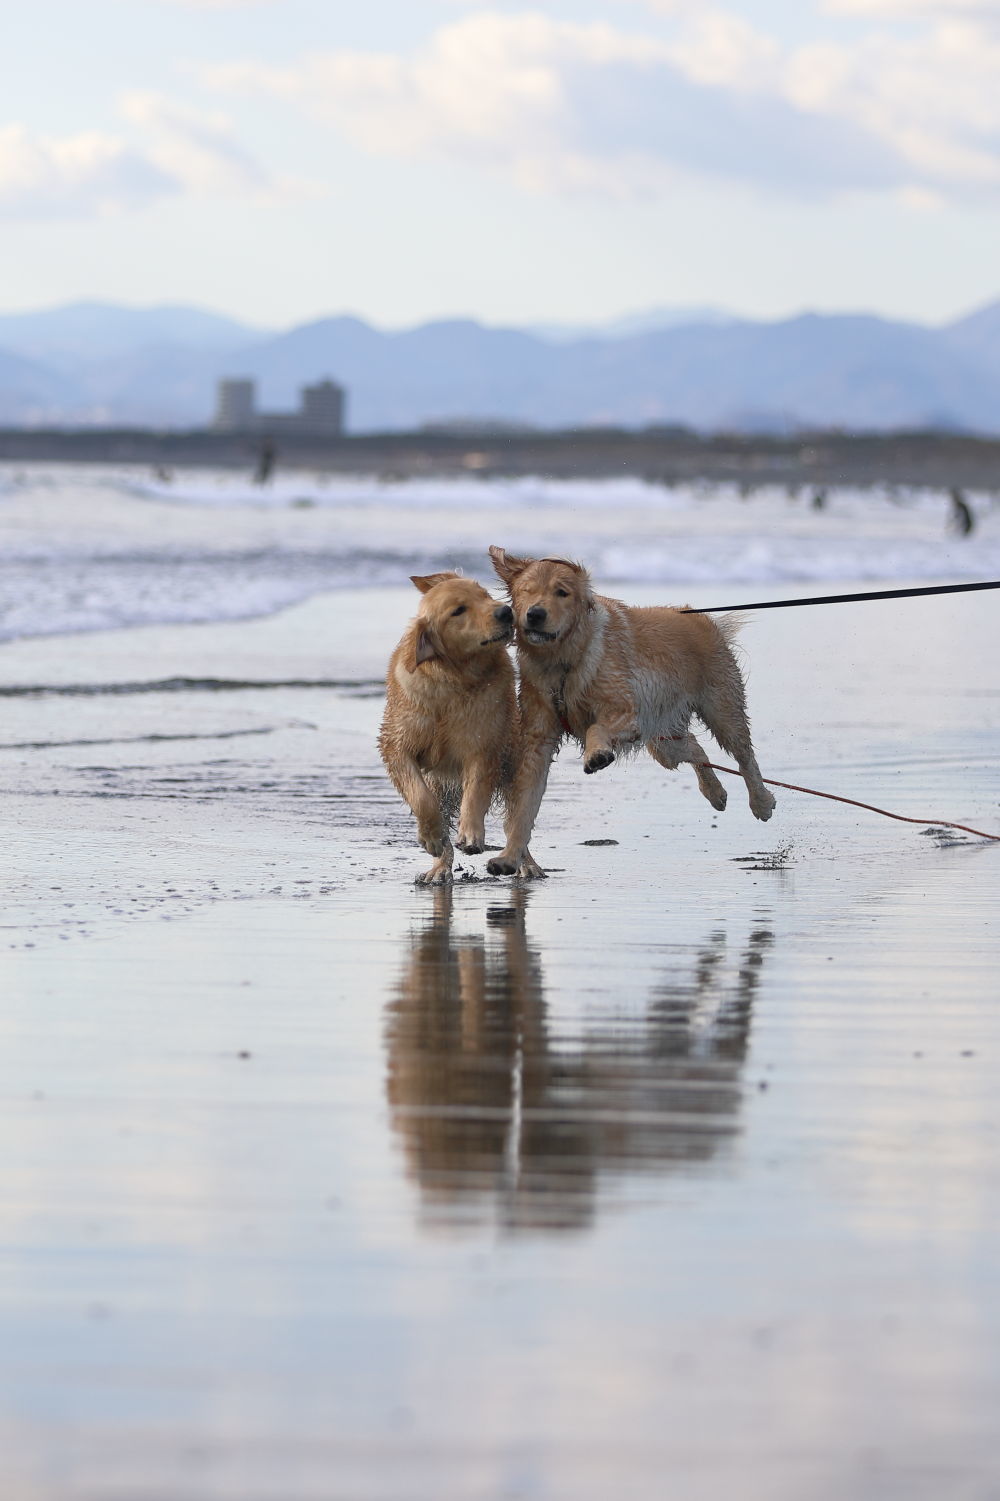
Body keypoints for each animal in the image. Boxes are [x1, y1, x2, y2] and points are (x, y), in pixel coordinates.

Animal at [378, 570, 540, 876]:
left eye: (484, 595)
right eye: (458, 611)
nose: (505, 611)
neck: (454, 679)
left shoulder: (484, 744)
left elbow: (476, 790)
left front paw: (472, 834)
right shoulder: (397, 744)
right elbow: (421, 797)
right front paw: (431, 838)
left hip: (514, 760)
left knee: (517, 820)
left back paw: (525, 864)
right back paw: (440, 868)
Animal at [483, 549, 768, 876]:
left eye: (562, 592)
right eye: (526, 591)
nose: (535, 614)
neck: (563, 660)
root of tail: (699, 616)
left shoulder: (625, 713)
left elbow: (596, 728)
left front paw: (596, 755)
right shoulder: (537, 739)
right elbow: (524, 805)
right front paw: (508, 857)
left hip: (721, 708)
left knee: (745, 755)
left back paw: (762, 802)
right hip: (663, 739)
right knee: (695, 748)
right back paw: (715, 792)